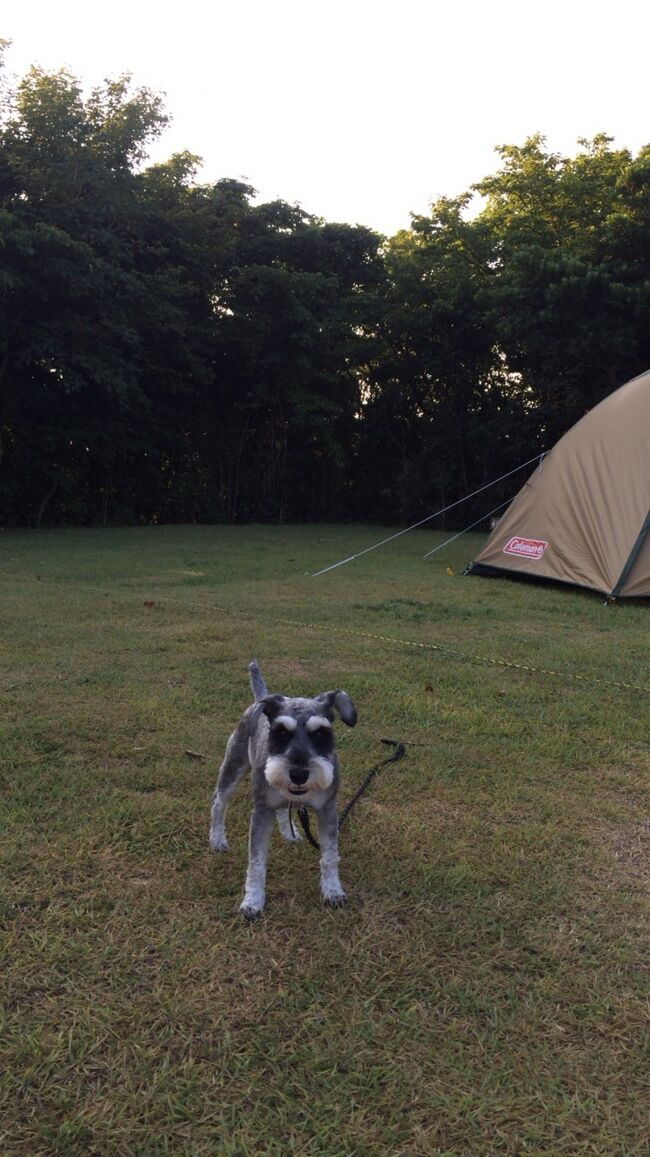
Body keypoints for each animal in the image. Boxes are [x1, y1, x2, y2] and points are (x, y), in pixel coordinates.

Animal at [207, 666, 356, 916]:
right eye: (282, 732)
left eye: (320, 733)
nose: (298, 774)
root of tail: (261, 698)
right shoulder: (262, 809)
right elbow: (256, 861)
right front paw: (252, 901)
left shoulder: (327, 809)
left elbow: (329, 856)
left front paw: (333, 891)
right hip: (233, 768)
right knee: (219, 803)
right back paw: (217, 839)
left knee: (283, 808)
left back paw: (290, 832)